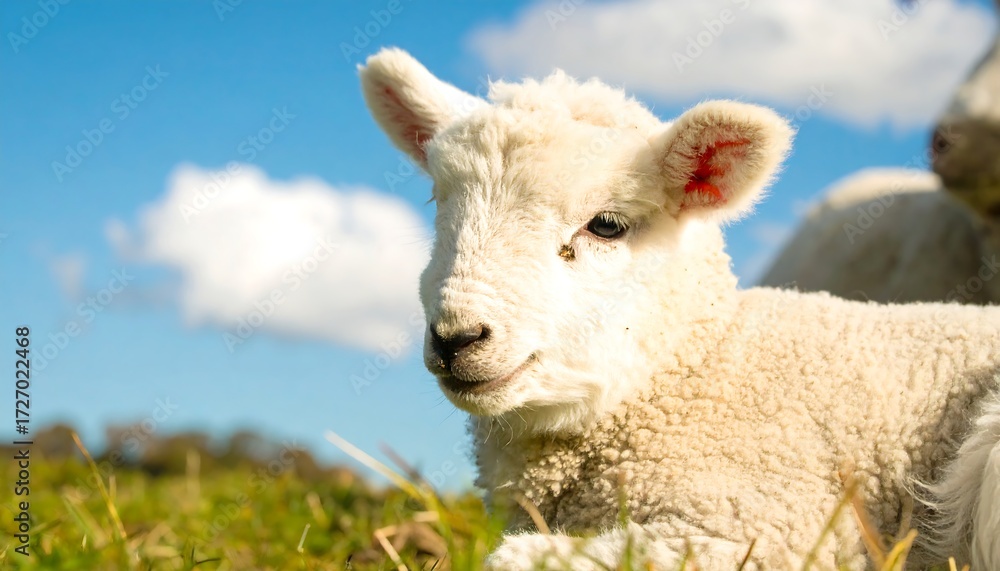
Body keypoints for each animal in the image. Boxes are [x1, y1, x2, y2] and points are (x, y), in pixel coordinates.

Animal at [359, 48, 1000, 570]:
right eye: (438, 201)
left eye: (606, 225)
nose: (456, 338)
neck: (699, 366)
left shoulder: (766, 529)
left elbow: (516, 559)